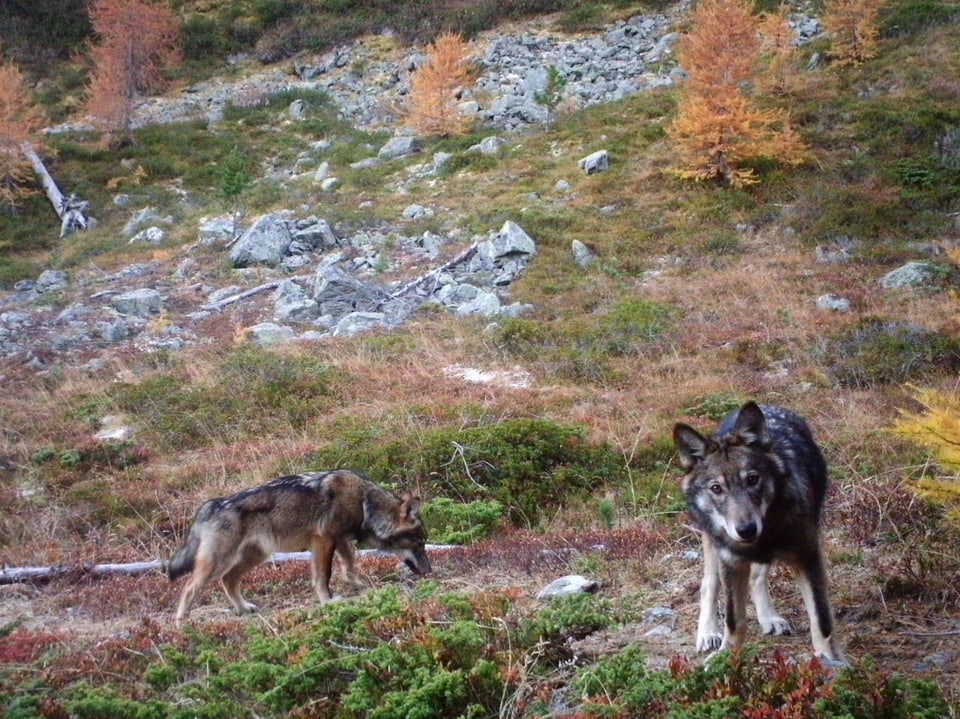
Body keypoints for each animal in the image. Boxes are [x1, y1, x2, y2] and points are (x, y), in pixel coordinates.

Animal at [168, 470, 432, 628]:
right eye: (419, 543)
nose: (429, 571)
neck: (363, 502)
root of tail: (210, 506)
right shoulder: (323, 540)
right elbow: (323, 576)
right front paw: (329, 602)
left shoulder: (339, 539)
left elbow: (349, 564)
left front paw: (357, 584)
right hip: (218, 562)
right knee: (189, 587)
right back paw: (181, 623)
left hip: (254, 557)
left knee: (228, 581)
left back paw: (243, 609)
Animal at [672, 402, 844, 660]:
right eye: (716, 488)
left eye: (753, 479)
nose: (746, 530)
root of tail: (767, 405)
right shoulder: (731, 561)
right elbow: (734, 621)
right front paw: (726, 657)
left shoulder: (808, 557)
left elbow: (821, 618)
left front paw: (827, 659)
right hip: (712, 544)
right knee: (708, 584)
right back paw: (708, 633)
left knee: (756, 578)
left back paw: (769, 618)